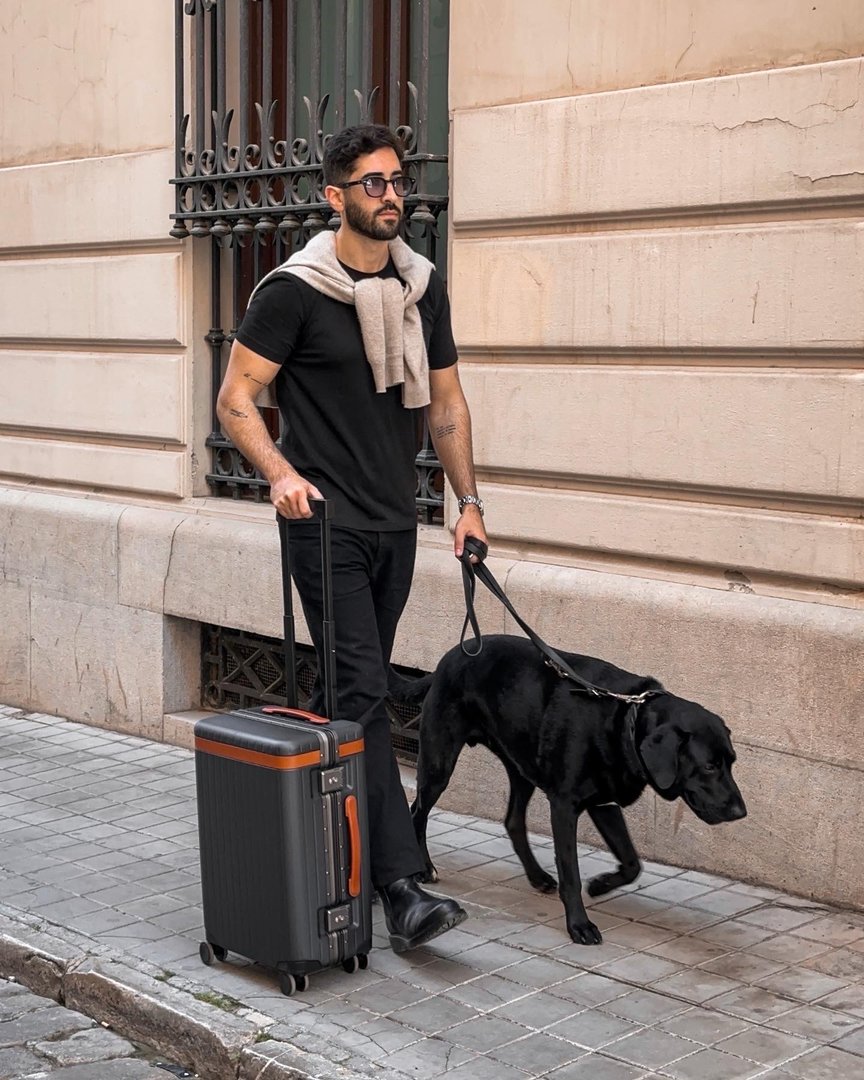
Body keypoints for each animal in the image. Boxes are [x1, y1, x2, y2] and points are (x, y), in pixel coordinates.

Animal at [393, 630, 747, 946]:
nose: (740, 811)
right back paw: (424, 869)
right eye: (710, 766)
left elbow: (632, 862)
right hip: (439, 763)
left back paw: (537, 876)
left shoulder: (604, 803)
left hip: (521, 768)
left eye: (732, 761)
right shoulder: (564, 806)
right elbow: (571, 874)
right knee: (417, 811)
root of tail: (448, 658)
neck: (625, 719)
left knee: (513, 821)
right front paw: (579, 925)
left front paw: (602, 884)